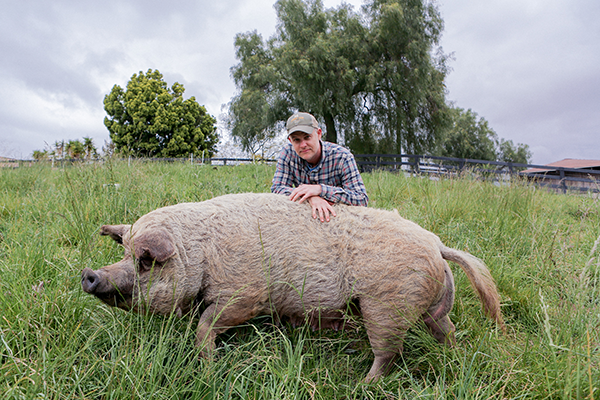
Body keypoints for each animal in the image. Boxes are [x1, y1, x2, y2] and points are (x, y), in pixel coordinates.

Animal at [82, 193, 504, 382]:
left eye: (146, 260)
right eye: (124, 252)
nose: (90, 274)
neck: (202, 252)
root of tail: (437, 244)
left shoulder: (247, 294)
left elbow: (207, 324)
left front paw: (209, 367)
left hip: (386, 304)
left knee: (389, 352)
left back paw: (360, 384)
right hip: (427, 305)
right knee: (446, 328)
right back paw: (454, 356)